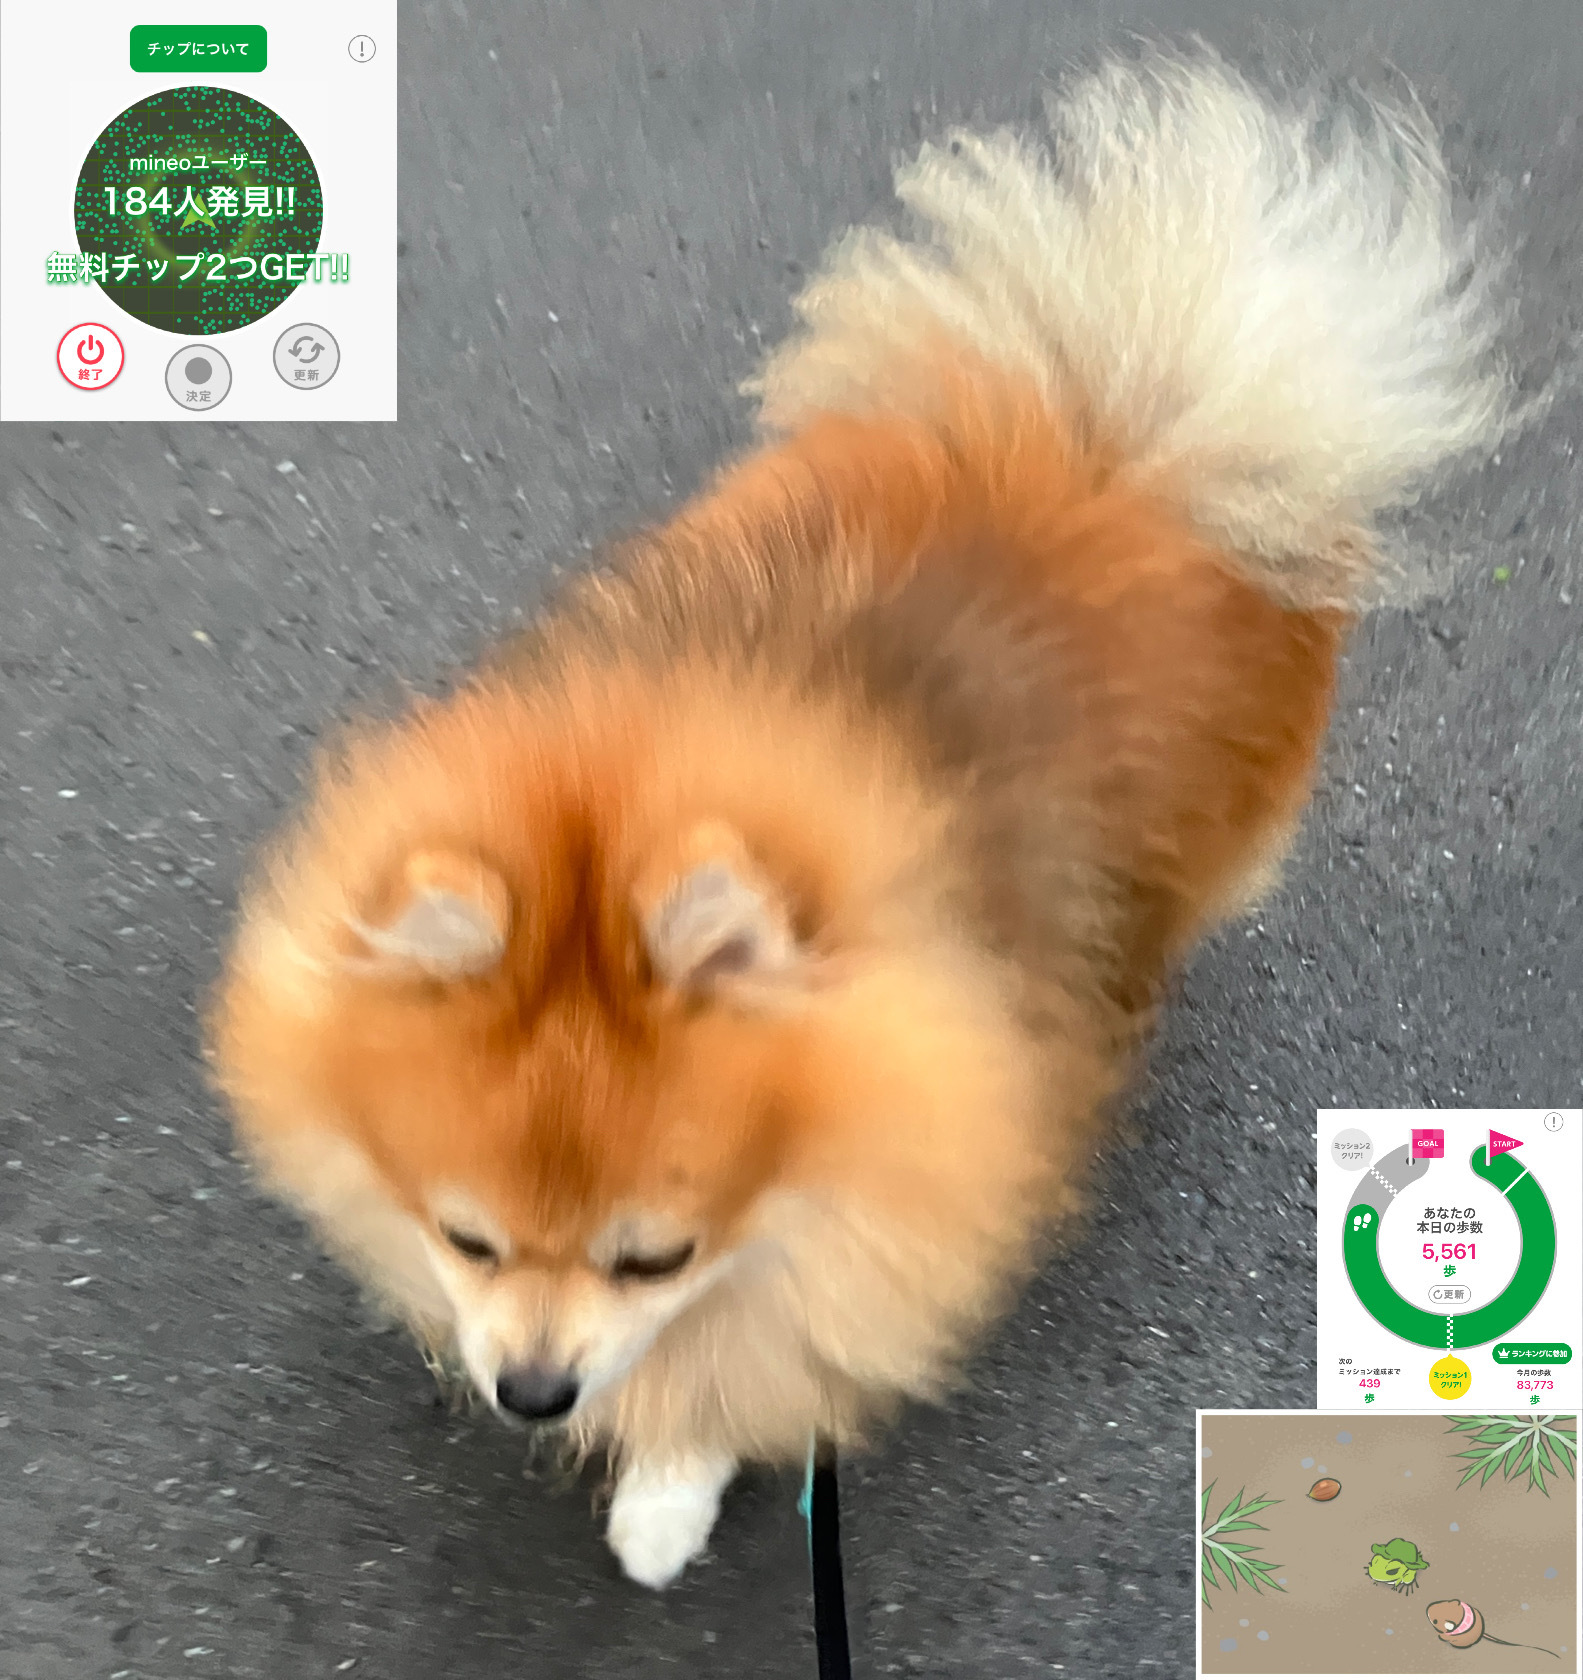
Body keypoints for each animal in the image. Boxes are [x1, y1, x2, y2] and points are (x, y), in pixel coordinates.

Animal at [209, 49, 1514, 1588]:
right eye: (465, 1239)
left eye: (649, 1257)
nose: (529, 1388)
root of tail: (1132, 437)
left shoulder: (864, 1211)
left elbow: (759, 1354)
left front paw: (667, 1484)